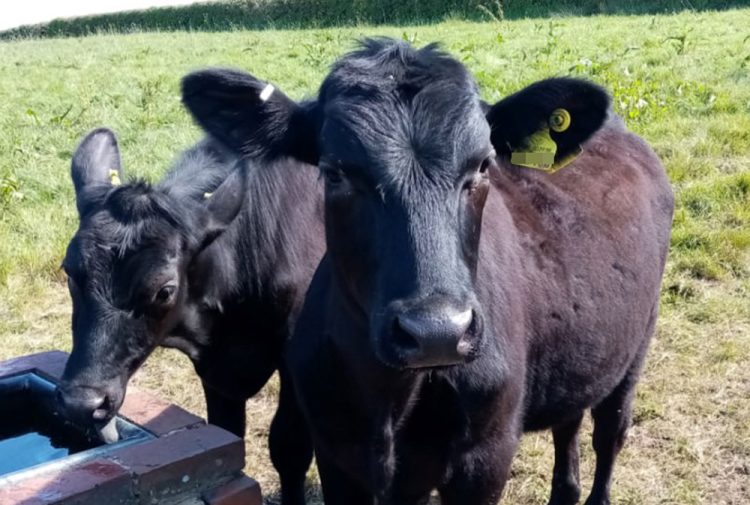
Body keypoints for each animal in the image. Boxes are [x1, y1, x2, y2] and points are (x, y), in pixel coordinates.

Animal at [56, 127, 324, 505]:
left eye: (164, 291)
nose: (81, 403)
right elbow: (227, 434)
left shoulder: (297, 361)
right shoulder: (217, 370)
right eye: (69, 273)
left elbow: (289, 448)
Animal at [181, 38, 674, 505]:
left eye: (483, 165)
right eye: (335, 171)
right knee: (568, 423)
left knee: (610, 432)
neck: (390, 398)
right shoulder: (338, 454)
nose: (437, 332)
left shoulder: (486, 457)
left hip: (638, 344)